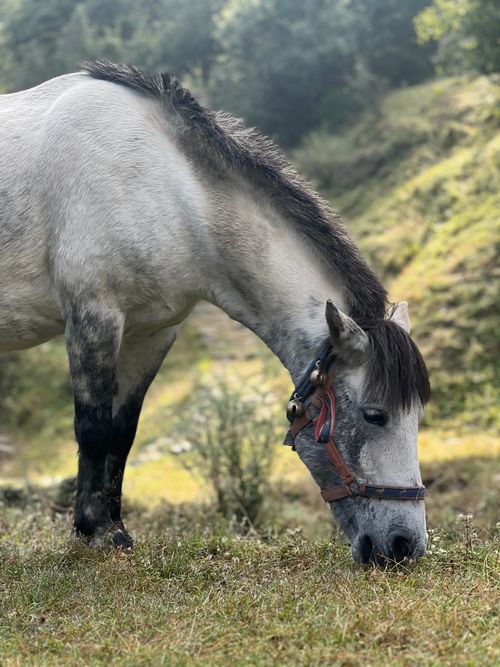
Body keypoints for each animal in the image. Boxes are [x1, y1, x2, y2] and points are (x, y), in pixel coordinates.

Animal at [0, 61, 430, 565]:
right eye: (374, 414)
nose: (405, 546)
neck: (167, 188)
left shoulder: (153, 332)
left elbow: (122, 433)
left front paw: (117, 529)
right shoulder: (94, 318)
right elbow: (93, 426)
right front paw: (93, 530)